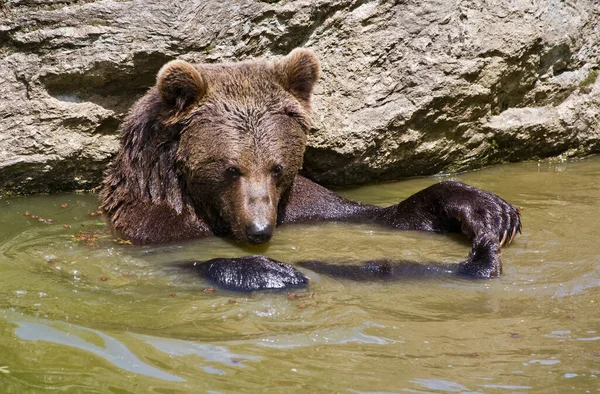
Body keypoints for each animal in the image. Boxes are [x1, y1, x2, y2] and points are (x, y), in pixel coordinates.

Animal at [101, 47, 524, 290]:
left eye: (276, 168)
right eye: (231, 169)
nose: (259, 230)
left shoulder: (305, 205)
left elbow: (377, 214)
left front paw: (486, 210)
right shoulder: (156, 227)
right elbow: (176, 261)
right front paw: (272, 271)